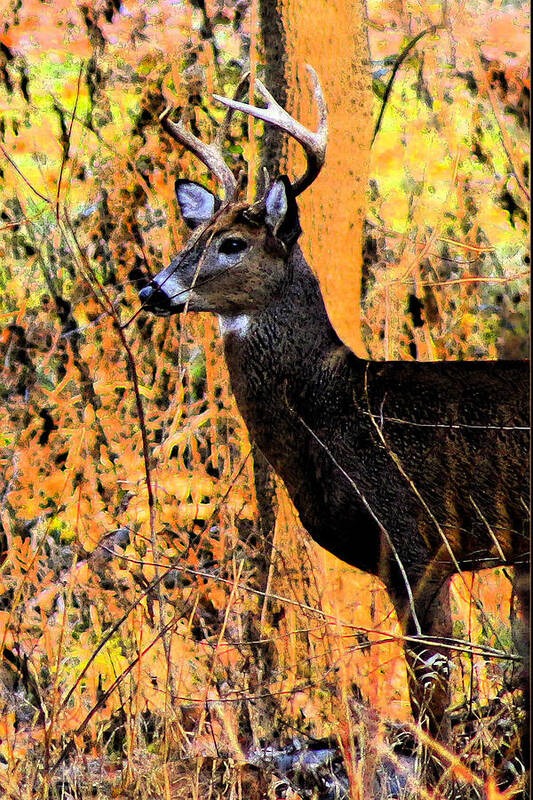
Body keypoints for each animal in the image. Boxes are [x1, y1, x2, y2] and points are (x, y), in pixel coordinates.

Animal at [139, 67, 528, 756]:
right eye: (191, 237)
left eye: (232, 243)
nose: (150, 289)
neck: (337, 410)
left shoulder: (416, 540)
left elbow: (431, 699)